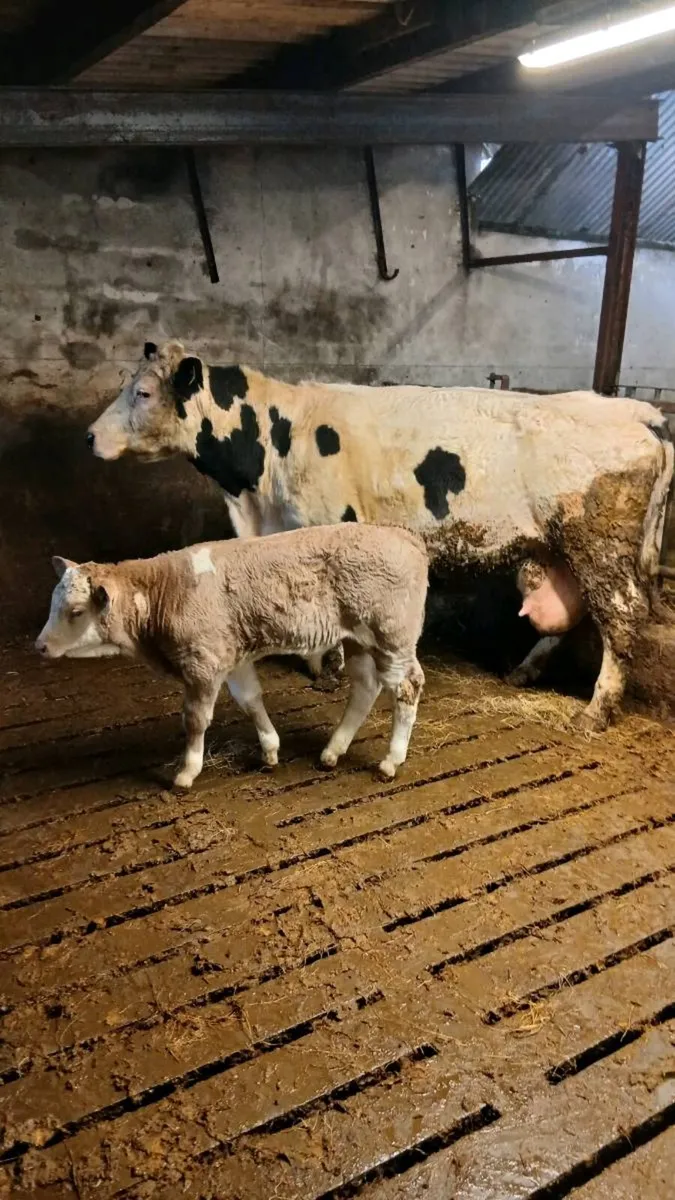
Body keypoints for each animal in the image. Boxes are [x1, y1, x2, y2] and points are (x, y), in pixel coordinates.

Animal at [35, 524, 428, 787]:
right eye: (53, 602)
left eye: (75, 611)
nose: (40, 645)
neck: (164, 589)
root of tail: (405, 536)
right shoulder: (232, 657)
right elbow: (250, 699)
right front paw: (270, 750)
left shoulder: (202, 663)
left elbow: (195, 719)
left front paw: (186, 772)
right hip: (359, 638)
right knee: (366, 686)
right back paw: (333, 751)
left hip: (392, 636)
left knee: (407, 686)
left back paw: (391, 761)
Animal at [88, 340, 674, 731]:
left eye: (143, 392)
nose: (90, 436)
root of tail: (636, 410)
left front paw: (330, 669)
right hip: (562, 550)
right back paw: (524, 673)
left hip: (600, 546)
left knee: (621, 619)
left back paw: (596, 712)